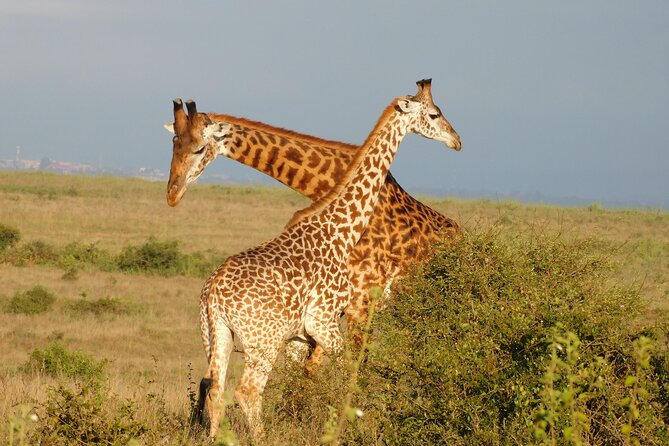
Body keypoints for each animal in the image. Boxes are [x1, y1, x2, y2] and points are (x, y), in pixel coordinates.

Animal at [192, 80, 461, 438]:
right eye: (434, 114)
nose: (456, 140)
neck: (341, 230)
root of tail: (213, 295)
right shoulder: (324, 321)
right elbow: (350, 375)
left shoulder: (300, 334)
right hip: (263, 341)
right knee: (247, 392)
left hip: (216, 335)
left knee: (215, 391)